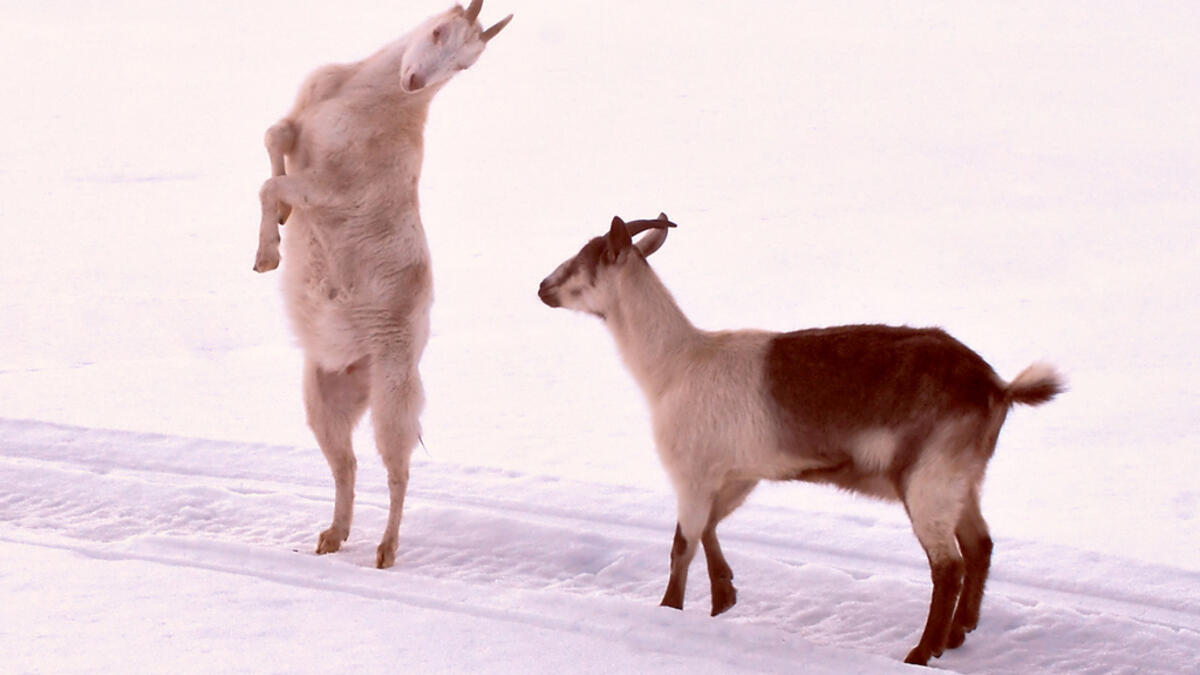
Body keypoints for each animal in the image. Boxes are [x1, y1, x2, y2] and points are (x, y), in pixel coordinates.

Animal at [252, 1, 512, 569]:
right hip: (322, 399)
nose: (413, 81)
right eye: (438, 31)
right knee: (345, 465)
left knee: (397, 471)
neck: (361, 100)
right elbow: (273, 138)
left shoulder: (332, 188)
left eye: (466, 63)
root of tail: (359, 372)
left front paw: (268, 253)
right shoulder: (299, 123)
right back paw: (332, 536)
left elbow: (272, 183)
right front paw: (276, 231)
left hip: (394, 398)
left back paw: (385, 550)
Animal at [537, 214, 1064, 666]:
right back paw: (958, 634)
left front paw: (671, 610)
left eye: (583, 260)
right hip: (965, 479)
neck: (675, 364)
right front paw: (724, 596)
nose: (542, 287)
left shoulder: (691, 472)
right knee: (979, 545)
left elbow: (682, 543)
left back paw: (921, 652)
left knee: (947, 565)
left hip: (929, 480)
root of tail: (996, 387)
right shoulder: (739, 475)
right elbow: (709, 527)